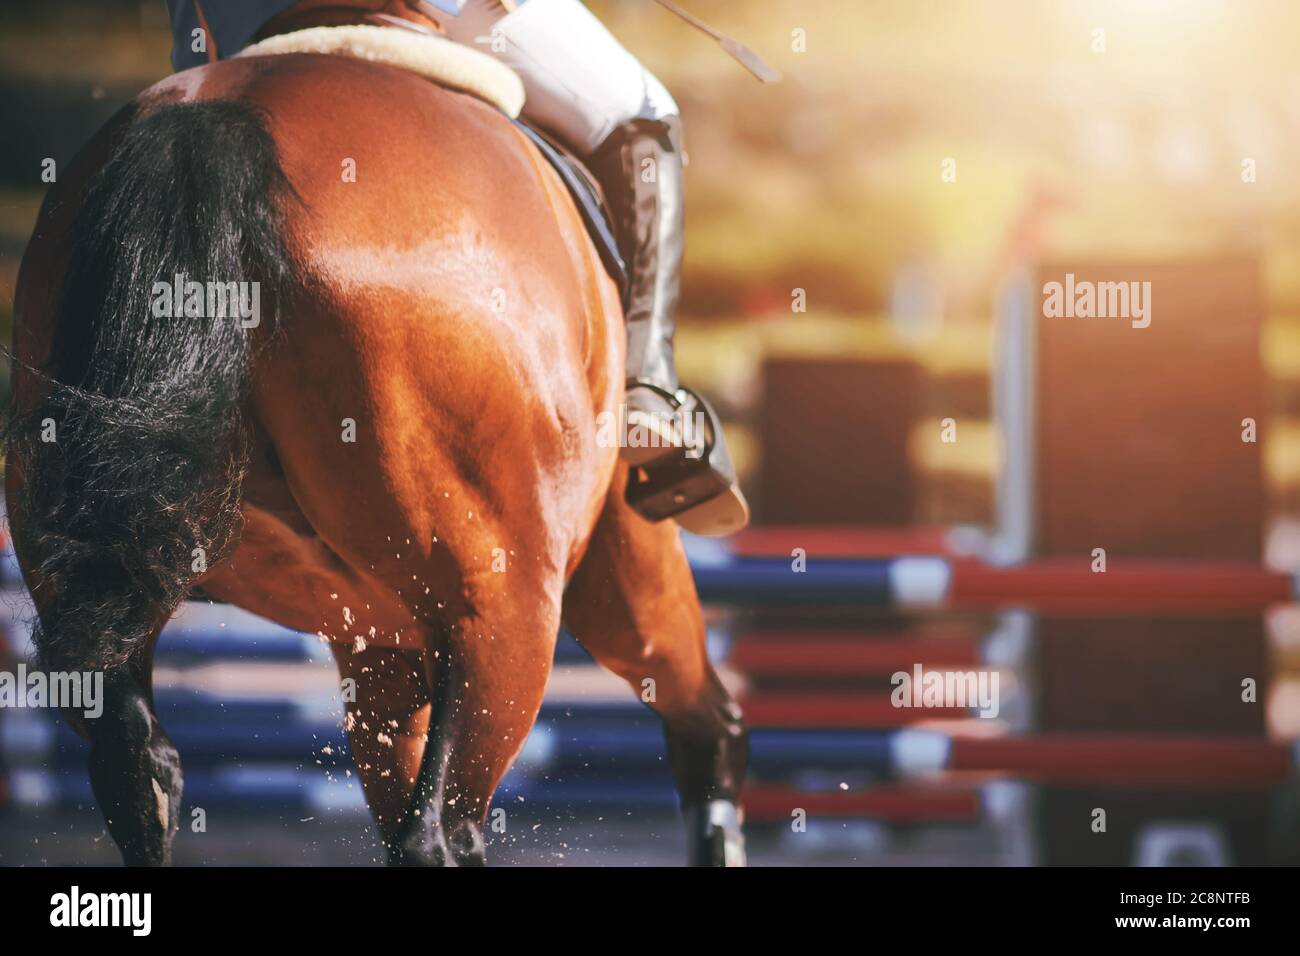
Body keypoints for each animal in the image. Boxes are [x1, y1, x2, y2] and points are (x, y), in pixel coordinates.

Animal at [5, 48, 748, 863]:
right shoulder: (606, 551)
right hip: (521, 600)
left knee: (140, 770)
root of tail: (211, 122)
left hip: (101, 575)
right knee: (458, 821)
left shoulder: (382, 639)